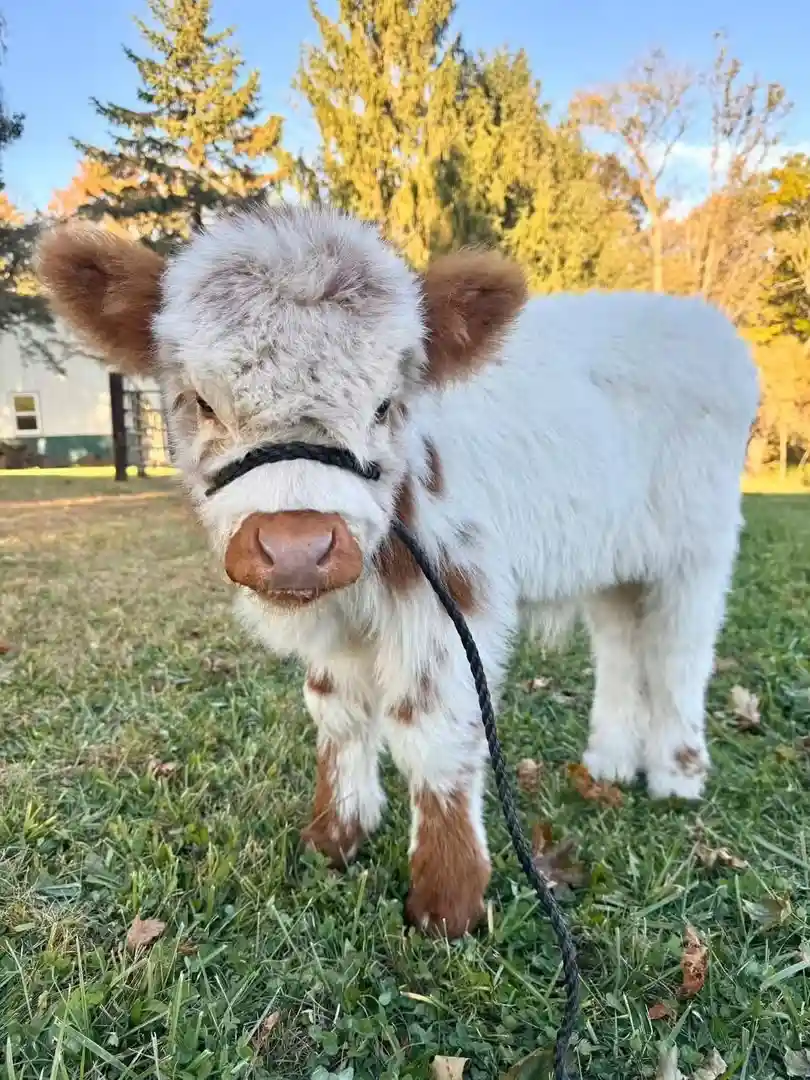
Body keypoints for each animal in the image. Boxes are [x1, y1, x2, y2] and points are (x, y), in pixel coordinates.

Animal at [36, 202, 759, 938]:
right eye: (200, 401)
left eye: (385, 403)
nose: (295, 545)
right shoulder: (334, 612)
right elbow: (336, 713)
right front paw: (336, 836)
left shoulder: (454, 593)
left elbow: (430, 731)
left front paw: (448, 901)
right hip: (613, 557)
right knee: (620, 644)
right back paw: (610, 762)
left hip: (697, 549)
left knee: (679, 653)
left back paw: (676, 773)